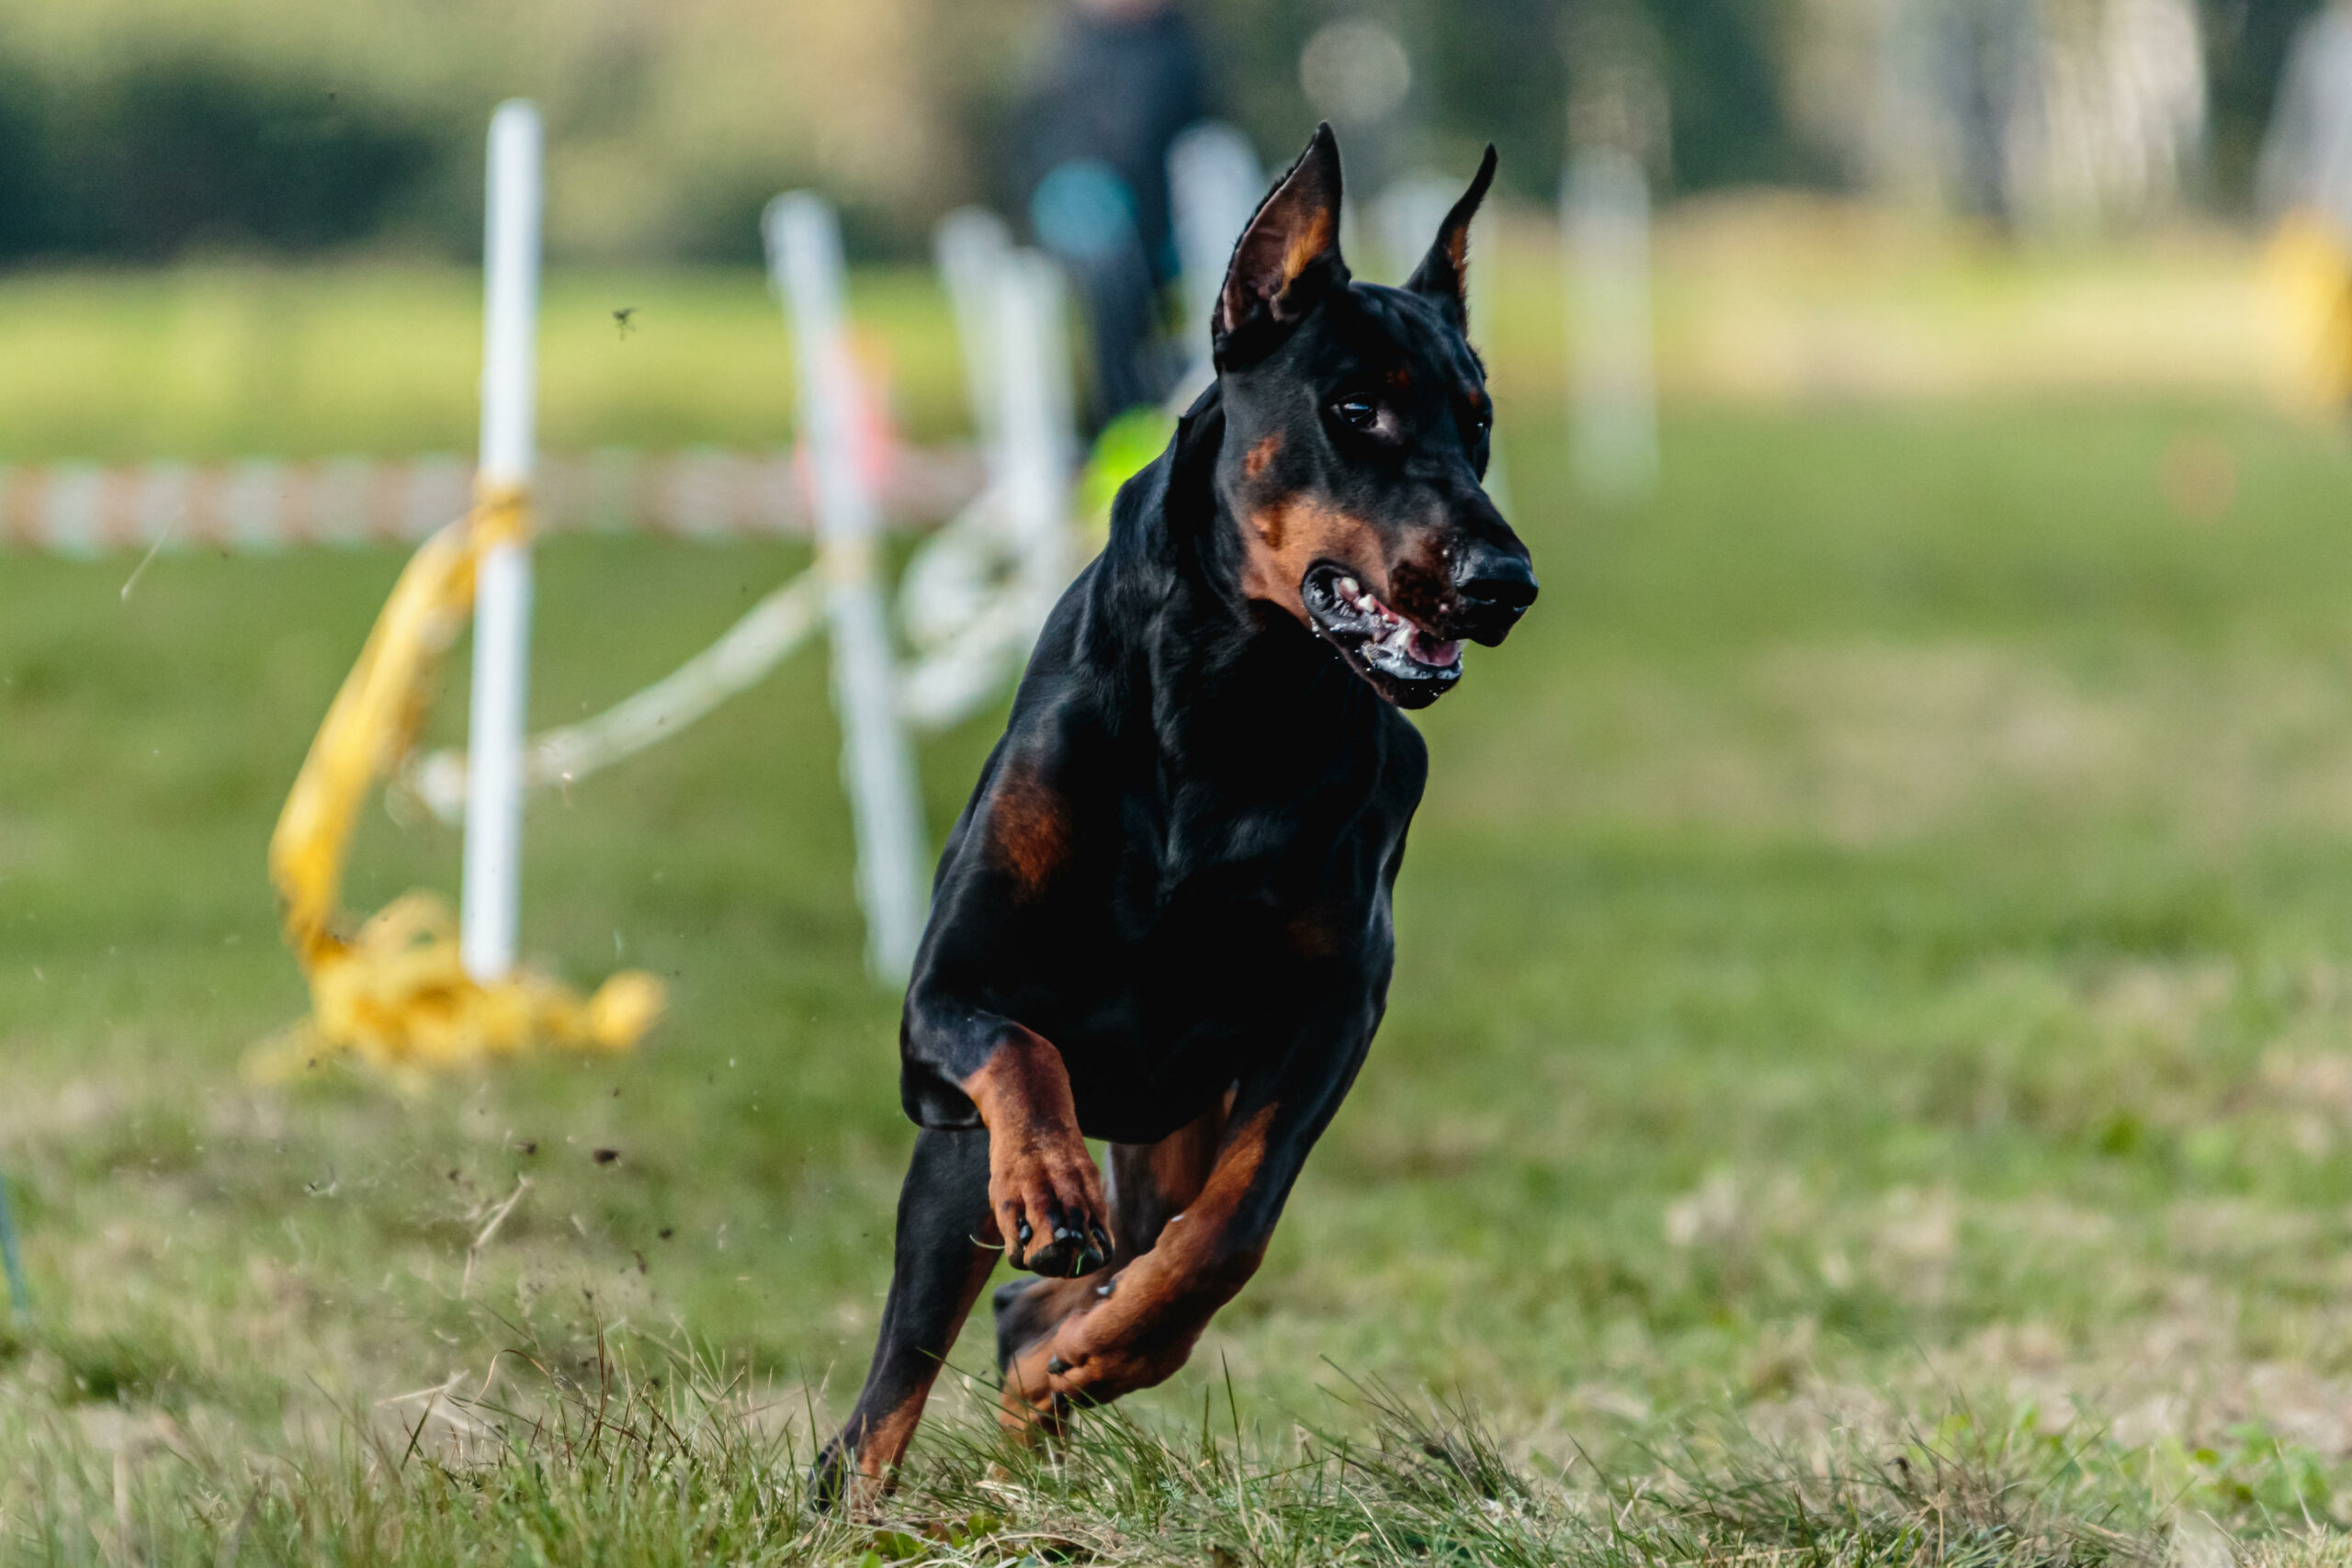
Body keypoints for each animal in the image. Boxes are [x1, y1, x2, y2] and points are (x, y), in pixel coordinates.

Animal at [818, 129, 1533, 1504]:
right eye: (1353, 409)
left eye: (1478, 424)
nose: (1503, 581)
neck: (1230, 701)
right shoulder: (940, 1010)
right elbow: (1017, 1050)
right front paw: (1051, 1188)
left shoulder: (1331, 1012)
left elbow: (1228, 1234)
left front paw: (1105, 1349)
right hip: (954, 1171)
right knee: (888, 1392)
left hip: (1172, 1128)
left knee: (1061, 1298)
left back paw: (1058, 1370)